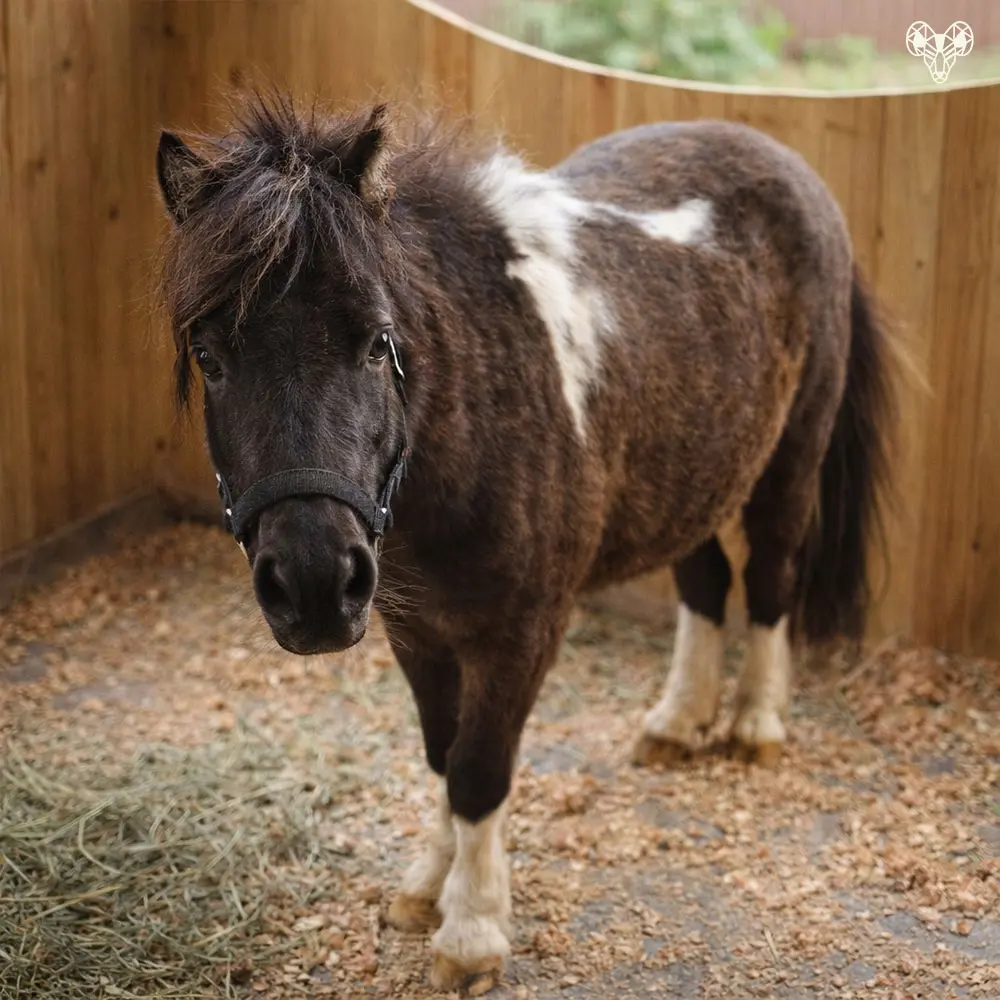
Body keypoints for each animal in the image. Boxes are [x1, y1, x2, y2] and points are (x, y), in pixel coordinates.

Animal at [155, 94, 895, 993]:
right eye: (210, 355)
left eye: (376, 341)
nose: (313, 584)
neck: (475, 407)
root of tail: (785, 162)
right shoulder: (416, 631)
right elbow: (442, 757)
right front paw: (426, 890)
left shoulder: (522, 633)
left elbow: (479, 773)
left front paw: (472, 933)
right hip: (695, 465)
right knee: (707, 584)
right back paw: (677, 721)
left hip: (789, 461)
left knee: (773, 582)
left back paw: (755, 725)